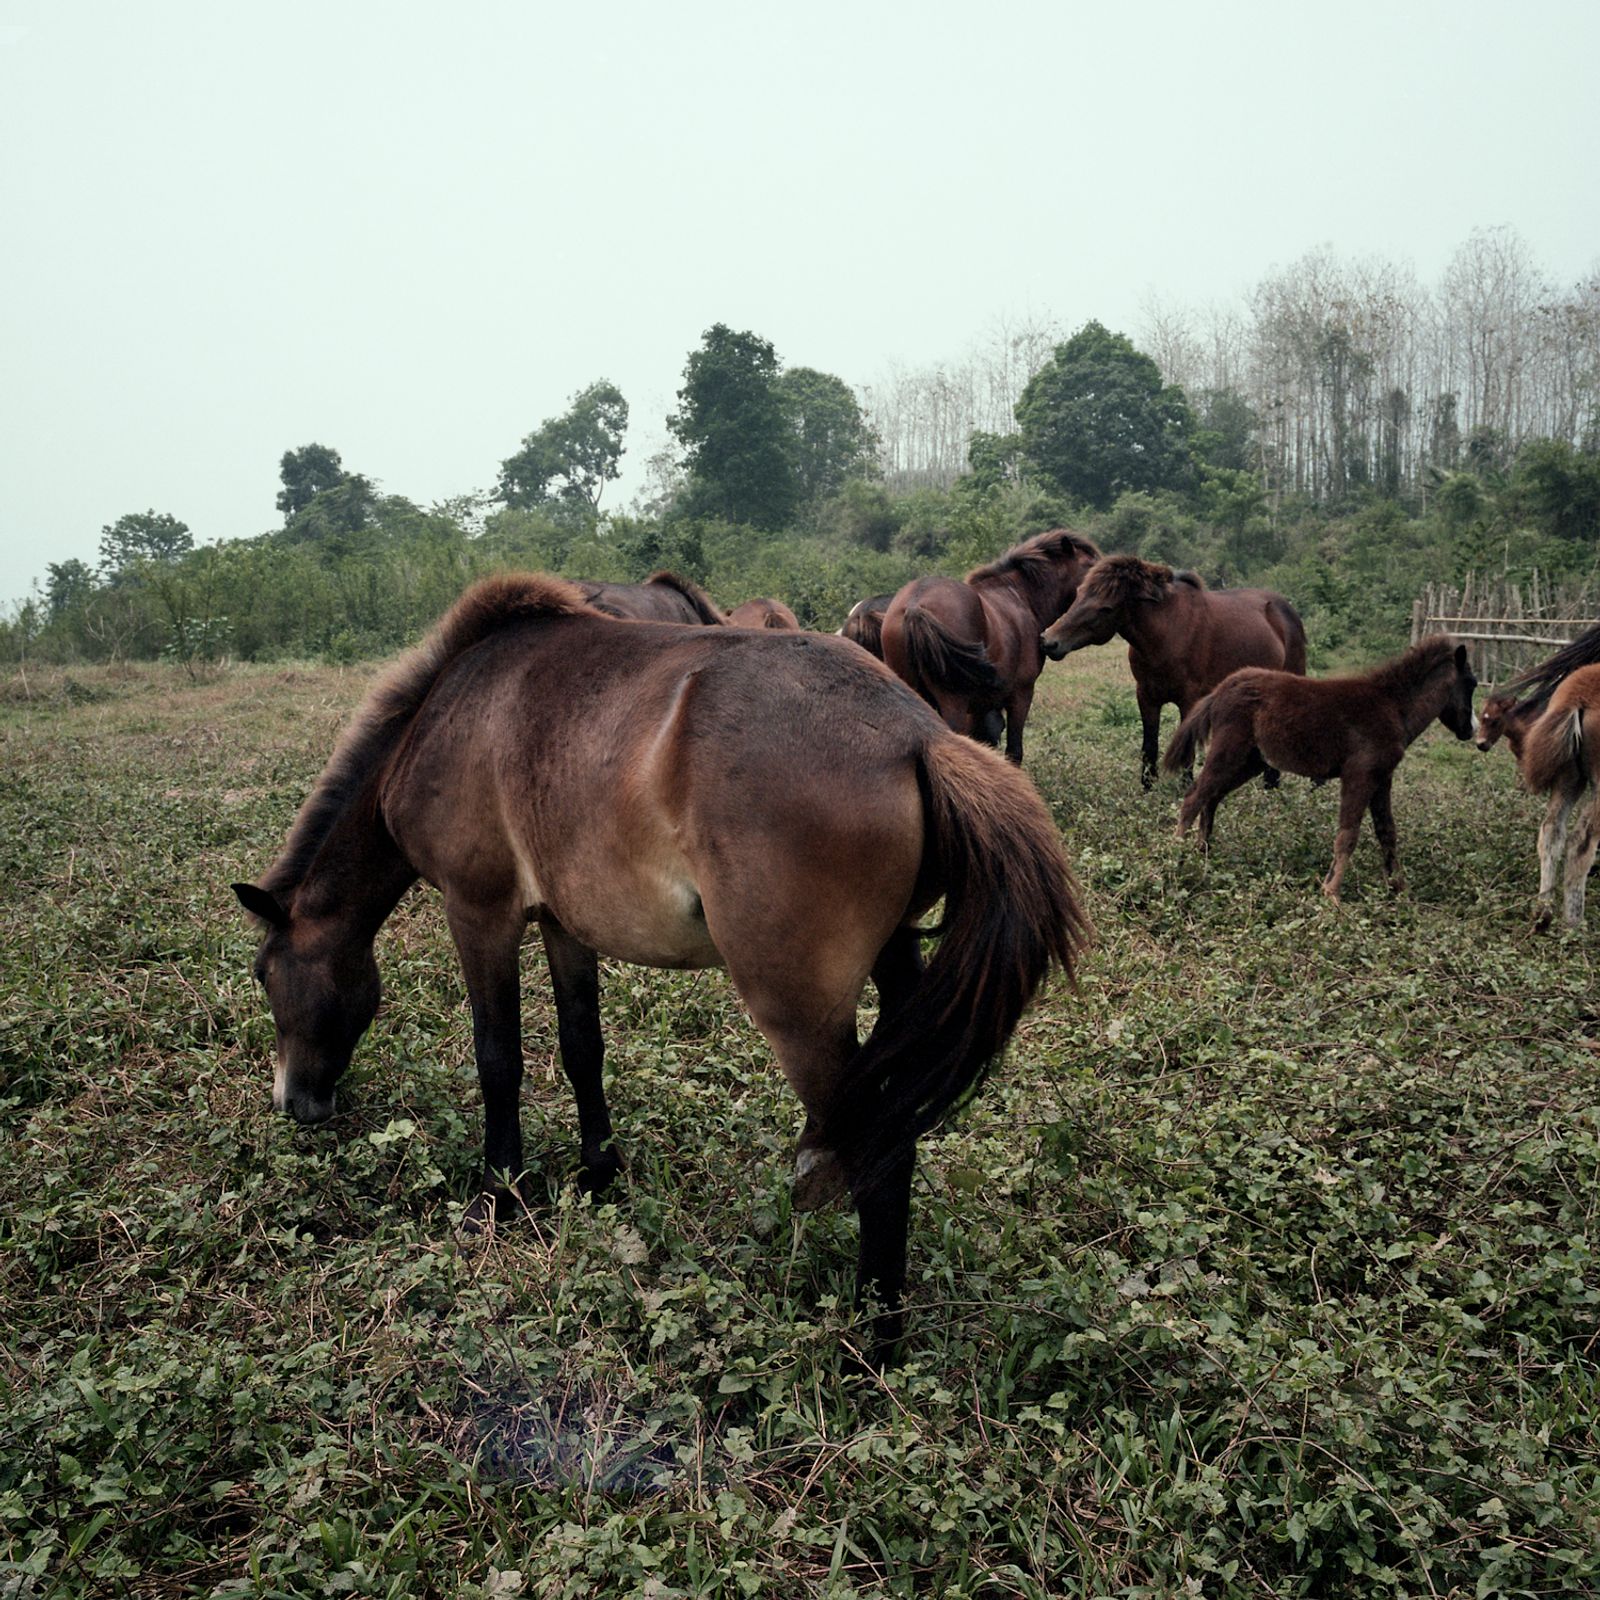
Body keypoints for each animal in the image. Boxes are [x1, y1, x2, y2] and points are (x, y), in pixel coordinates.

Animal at [876, 528, 1100, 764]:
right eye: (1090, 565)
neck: (1020, 596)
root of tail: (914, 605)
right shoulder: (1021, 694)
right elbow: (1013, 751)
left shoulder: (978, 710)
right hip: (953, 703)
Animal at [1043, 560, 1305, 790]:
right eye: (1078, 594)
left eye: (1106, 608)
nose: (1049, 641)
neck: (1166, 634)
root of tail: (1286, 611)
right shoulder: (1146, 697)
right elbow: (1149, 748)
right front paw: (1147, 791)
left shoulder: (1189, 701)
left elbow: (1187, 753)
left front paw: (1184, 790)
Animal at [1164, 640, 1472, 915]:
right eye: (1471, 684)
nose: (1469, 732)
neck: (1394, 708)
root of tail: (1219, 691)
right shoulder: (1359, 774)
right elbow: (1348, 834)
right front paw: (1332, 894)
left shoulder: (1382, 777)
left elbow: (1387, 832)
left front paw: (1398, 889)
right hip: (1230, 750)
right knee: (1194, 796)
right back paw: (1175, 857)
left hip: (1250, 761)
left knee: (1211, 797)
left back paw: (1203, 853)